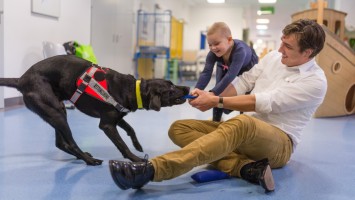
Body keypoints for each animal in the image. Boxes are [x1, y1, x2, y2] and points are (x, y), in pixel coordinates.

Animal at [0, 55, 191, 166]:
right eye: (171, 88)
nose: (188, 88)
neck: (131, 89)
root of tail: (20, 80)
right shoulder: (106, 125)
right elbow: (122, 144)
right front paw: (135, 159)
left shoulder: (116, 117)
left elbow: (130, 128)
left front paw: (137, 145)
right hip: (56, 112)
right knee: (70, 142)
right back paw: (89, 160)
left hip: (57, 111)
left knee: (60, 143)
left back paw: (82, 155)